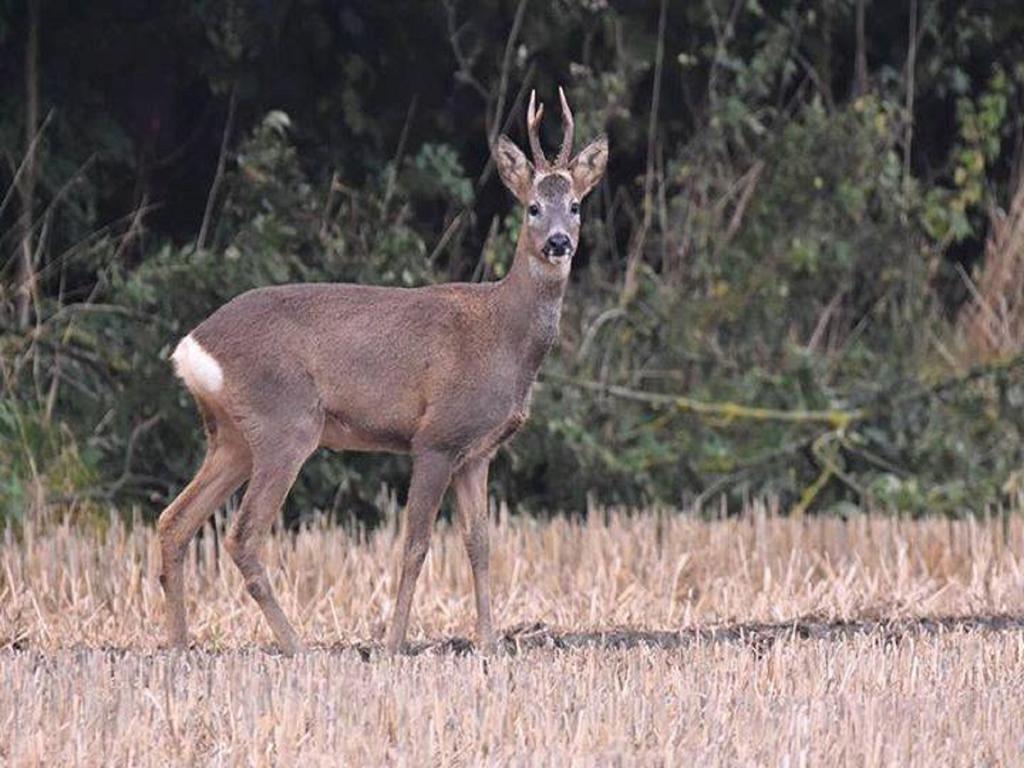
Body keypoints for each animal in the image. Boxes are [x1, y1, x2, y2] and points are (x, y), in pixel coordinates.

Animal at [157, 90, 606, 655]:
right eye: (532, 207)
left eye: (576, 206)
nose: (558, 243)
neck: (502, 334)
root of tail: (190, 349)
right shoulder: (436, 437)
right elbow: (415, 545)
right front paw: (394, 644)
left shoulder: (477, 452)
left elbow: (480, 545)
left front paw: (491, 643)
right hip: (285, 423)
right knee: (242, 536)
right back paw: (297, 647)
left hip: (233, 437)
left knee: (174, 521)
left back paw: (179, 646)